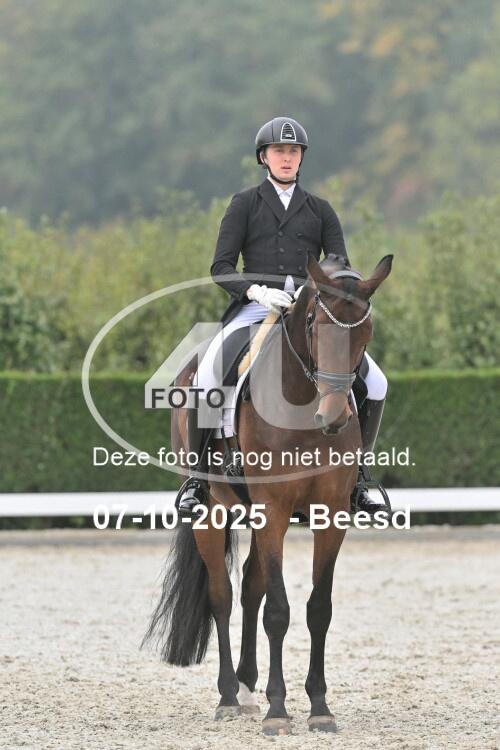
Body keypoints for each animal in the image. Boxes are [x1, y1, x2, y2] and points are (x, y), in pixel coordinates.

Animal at [143, 252, 393, 735]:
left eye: (366, 331)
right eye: (314, 322)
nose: (333, 417)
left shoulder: (329, 515)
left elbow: (318, 609)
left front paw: (319, 706)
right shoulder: (274, 511)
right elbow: (278, 611)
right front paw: (279, 711)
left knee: (250, 589)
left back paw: (245, 687)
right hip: (213, 512)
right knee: (222, 596)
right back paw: (228, 696)